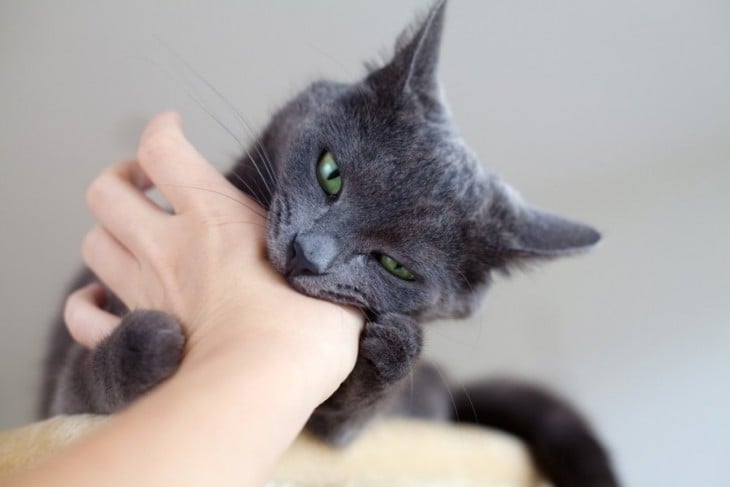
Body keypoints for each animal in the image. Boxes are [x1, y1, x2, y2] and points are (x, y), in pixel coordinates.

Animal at [41, 1, 616, 486]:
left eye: (395, 266)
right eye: (330, 173)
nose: (307, 252)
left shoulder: (336, 431)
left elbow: (343, 422)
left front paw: (396, 352)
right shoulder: (61, 400)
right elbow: (84, 382)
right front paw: (147, 343)